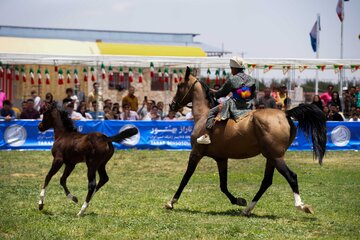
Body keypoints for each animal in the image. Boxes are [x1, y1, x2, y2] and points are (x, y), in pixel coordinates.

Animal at [165, 67, 328, 216]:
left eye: (179, 85)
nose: (172, 105)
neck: (203, 116)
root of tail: (285, 114)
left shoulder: (196, 153)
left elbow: (185, 178)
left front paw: (171, 202)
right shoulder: (221, 159)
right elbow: (223, 185)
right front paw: (238, 200)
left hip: (276, 157)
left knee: (291, 177)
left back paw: (301, 205)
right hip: (271, 157)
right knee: (266, 181)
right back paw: (247, 209)